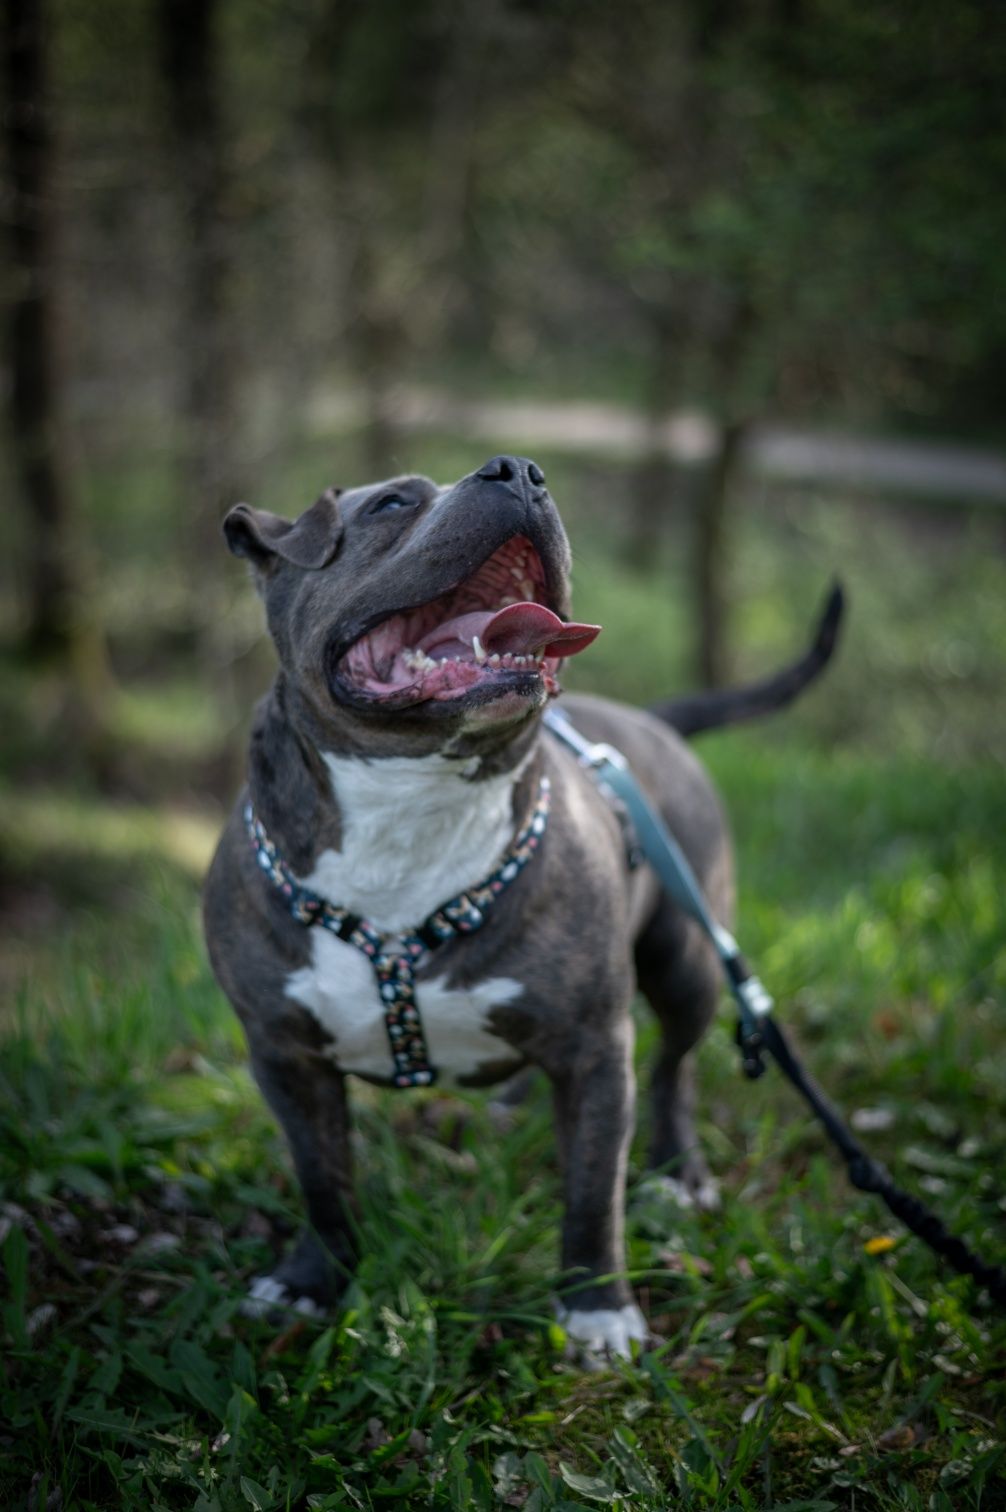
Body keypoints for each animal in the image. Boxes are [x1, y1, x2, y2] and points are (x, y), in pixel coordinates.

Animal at [204, 450, 841, 1360]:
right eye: (390, 504)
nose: (520, 469)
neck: (411, 811)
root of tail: (649, 721)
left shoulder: (595, 1050)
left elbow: (593, 1190)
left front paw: (597, 1308)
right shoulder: (285, 1055)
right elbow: (323, 1180)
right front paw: (310, 1282)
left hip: (687, 963)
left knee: (675, 1067)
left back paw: (678, 1171)